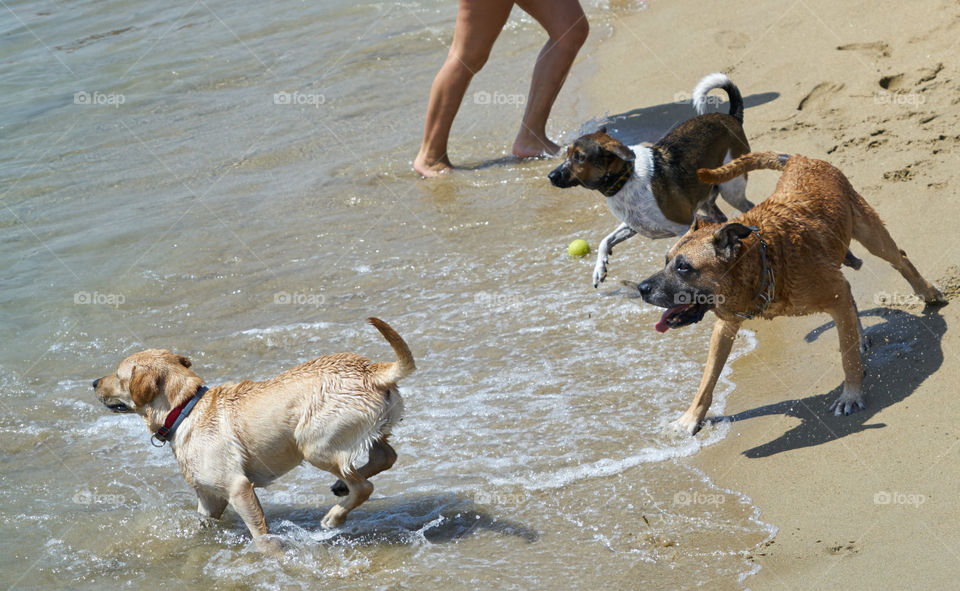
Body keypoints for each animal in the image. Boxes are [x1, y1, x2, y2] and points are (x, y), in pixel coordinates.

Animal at [91, 316, 416, 552]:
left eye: (118, 375)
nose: (93, 382)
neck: (186, 408)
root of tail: (372, 370)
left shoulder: (238, 488)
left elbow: (260, 533)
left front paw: (272, 554)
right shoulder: (209, 500)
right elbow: (202, 526)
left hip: (312, 444)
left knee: (364, 486)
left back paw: (334, 516)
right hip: (362, 430)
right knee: (385, 456)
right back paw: (340, 486)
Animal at [636, 153, 944, 438]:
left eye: (684, 267)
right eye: (666, 261)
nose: (641, 288)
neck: (765, 260)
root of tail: (801, 159)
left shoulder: (834, 293)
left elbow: (848, 359)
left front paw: (851, 394)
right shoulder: (725, 326)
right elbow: (707, 379)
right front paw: (690, 419)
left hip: (870, 232)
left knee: (899, 259)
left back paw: (928, 293)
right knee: (853, 300)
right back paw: (860, 334)